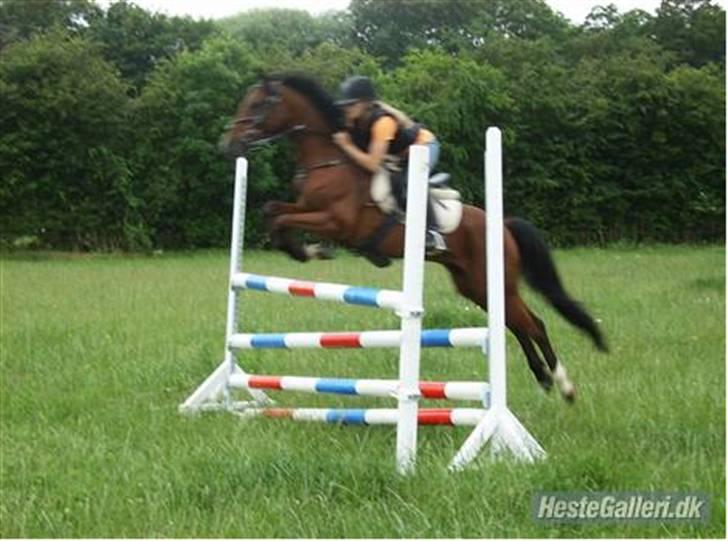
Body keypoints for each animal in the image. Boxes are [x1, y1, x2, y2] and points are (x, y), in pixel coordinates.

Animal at [219, 73, 604, 400]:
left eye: (257, 104)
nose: (230, 146)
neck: (327, 161)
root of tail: (503, 224)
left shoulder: (335, 221)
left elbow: (284, 217)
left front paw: (308, 250)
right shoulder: (305, 206)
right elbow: (273, 210)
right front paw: (304, 250)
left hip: (495, 282)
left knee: (533, 323)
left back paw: (564, 386)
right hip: (476, 286)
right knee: (514, 324)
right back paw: (543, 378)